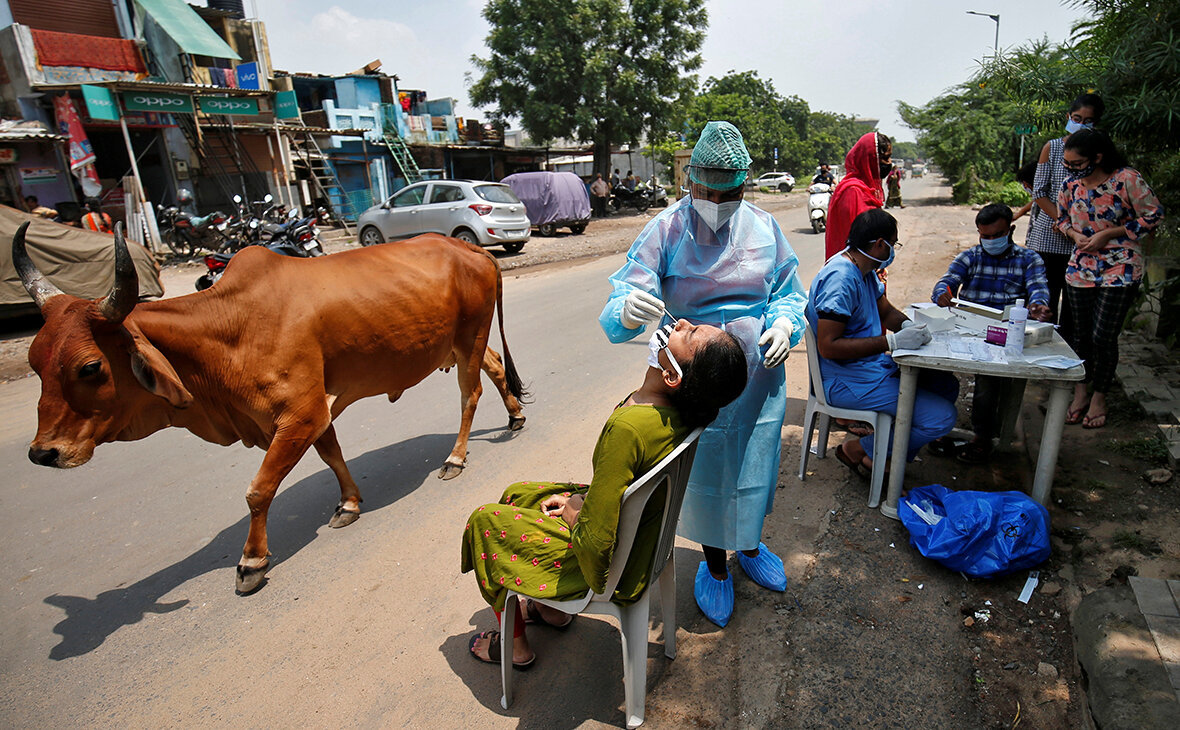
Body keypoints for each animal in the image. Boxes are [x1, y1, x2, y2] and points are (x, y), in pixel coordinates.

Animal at [14, 222, 526, 594]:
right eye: (34, 361)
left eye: (90, 367)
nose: (43, 453)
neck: (227, 329)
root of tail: (471, 249)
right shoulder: (314, 409)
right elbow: (331, 455)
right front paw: (348, 503)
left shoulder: (301, 413)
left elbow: (259, 490)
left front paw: (251, 561)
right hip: (461, 343)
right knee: (496, 368)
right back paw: (515, 415)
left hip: (469, 336)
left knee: (470, 394)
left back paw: (456, 457)